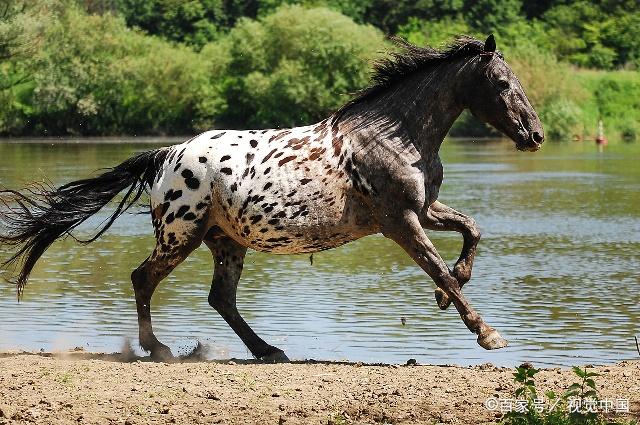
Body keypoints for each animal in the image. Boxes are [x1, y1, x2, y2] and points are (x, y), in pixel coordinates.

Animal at [0, 35, 544, 362]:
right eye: (501, 83)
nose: (535, 135)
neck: (395, 135)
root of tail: (167, 154)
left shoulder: (424, 211)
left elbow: (472, 231)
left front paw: (450, 290)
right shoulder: (399, 221)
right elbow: (439, 268)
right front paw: (488, 334)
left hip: (225, 241)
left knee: (220, 298)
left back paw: (266, 350)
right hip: (181, 234)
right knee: (143, 278)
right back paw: (159, 349)